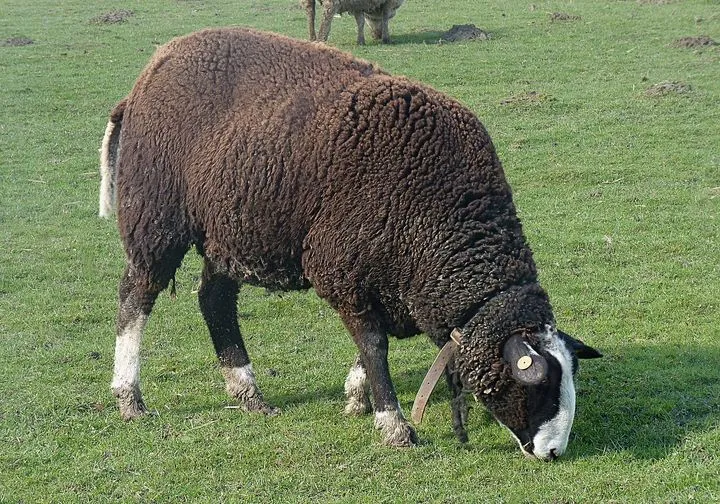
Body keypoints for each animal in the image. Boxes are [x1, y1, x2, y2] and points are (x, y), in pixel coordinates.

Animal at [98, 26, 600, 456]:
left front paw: (358, 396)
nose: (553, 452)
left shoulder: (386, 277)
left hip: (228, 230)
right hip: (155, 217)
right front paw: (393, 424)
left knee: (214, 299)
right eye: (538, 384)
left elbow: (371, 342)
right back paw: (130, 398)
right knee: (135, 297)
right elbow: (375, 345)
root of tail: (151, 71)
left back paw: (248, 392)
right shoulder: (340, 270)